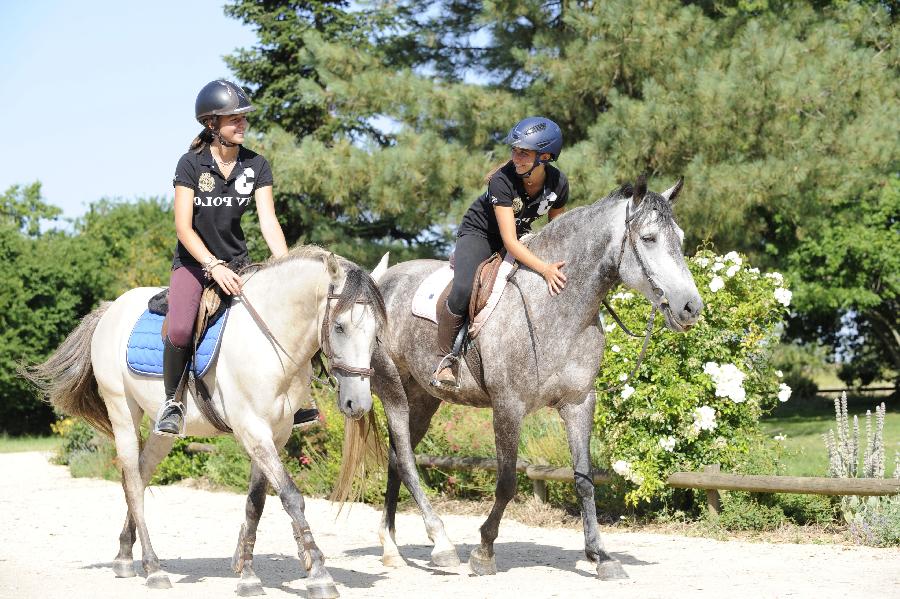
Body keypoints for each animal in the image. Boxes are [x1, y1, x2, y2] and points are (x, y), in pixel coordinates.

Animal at [25, 246, 386, 596]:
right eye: (339, 327)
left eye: (375, 334)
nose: (358, 404)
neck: (269, 340)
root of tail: (111, 308)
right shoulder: (253, 430)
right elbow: (291, 496)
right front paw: (318, 573)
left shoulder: (277, 434)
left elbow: (255, 503)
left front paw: (247, 574)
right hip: (122, 413)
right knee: (132, 481)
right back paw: (153, 568)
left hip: (162, 431)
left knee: (140, 475)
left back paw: (125, 556)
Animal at [344, 176, 704, 580]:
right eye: (649, 238)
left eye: (680, 237)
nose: (691, 307)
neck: (556, 304)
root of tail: (380, 281)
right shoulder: (508, 406)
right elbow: (506, 482)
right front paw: (484, 551)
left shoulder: (579, 403)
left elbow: (584, 480)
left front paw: (601, 556)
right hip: (393, 390)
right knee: (405, 459)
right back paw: (441, 545)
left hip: (423, 397)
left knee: (396, 456)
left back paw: (391, 547)